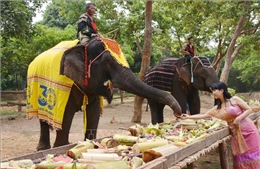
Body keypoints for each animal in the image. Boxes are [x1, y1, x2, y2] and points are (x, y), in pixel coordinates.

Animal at [26, 37, 181, 151]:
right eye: (107, 62)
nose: (178, 114)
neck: (83, 45)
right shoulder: (65, 84)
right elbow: (66, 114)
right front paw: (62, 147)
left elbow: (94, 112)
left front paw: (90, 144)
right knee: (43, 117)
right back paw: (43, 149)